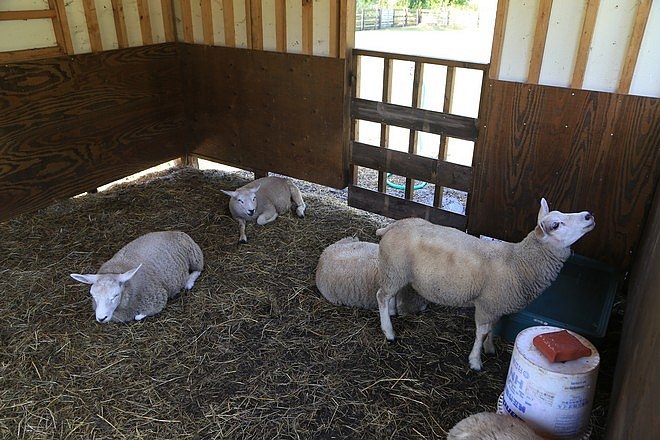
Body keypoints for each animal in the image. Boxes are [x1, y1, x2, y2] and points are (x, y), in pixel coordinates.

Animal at [69, 230, 204, 324]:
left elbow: (138, 316)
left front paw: (138, 315)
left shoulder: (158, 300)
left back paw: (188, 282)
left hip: (195, 256)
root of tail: (174, 231)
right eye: (93, 295)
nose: (101, 318)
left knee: (198, 270)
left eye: (116, 295)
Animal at [374, 199, 596, 372]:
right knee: (381, 296)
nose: (589, 215)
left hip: (395, 270)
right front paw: (475, 361)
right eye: (556, 225)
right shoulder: (486, 304)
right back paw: (389, 332)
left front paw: (490, 349)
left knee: (390, 294)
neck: (518, 262)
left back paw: (392, 313)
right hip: (395, 269)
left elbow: (493, 327)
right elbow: (481, 332)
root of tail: (394, 225)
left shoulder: (498, 304)